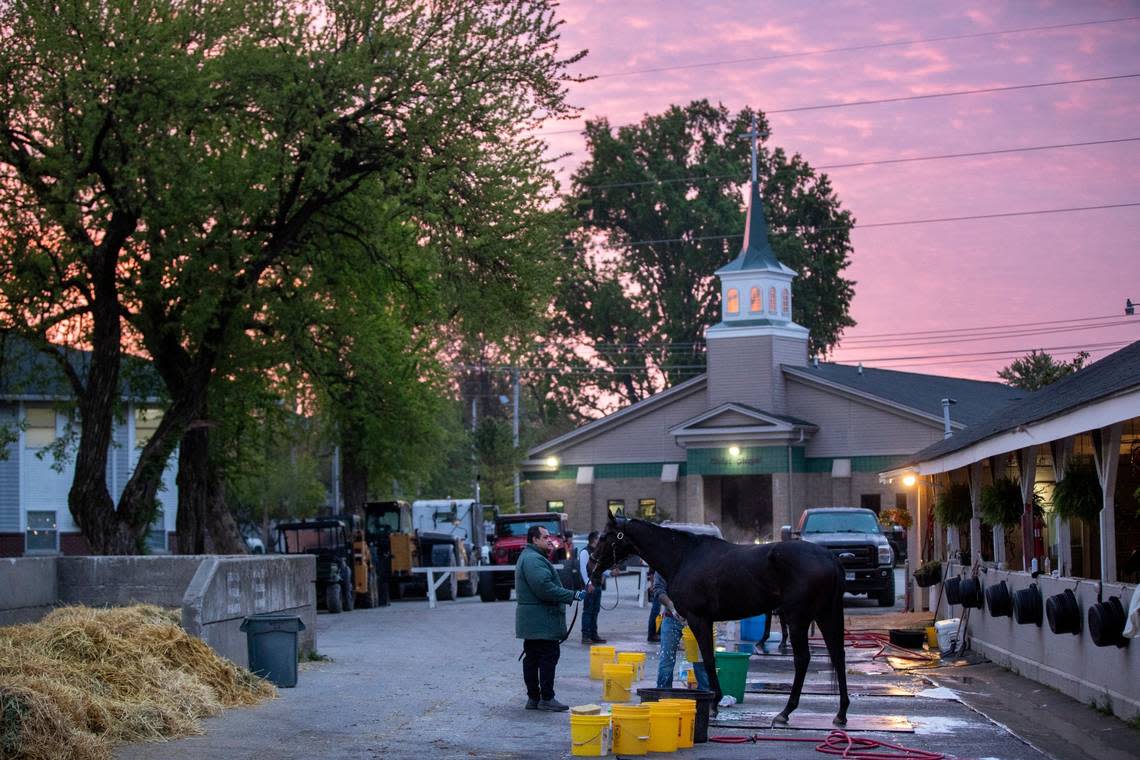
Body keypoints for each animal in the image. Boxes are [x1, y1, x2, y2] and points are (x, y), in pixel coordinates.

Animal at [588, 515, 848, 729]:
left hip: (798, 619)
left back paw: (785, 712)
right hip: (825, 615)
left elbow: (709, 659)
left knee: (803, 659)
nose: (591, 565)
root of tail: (829, 557)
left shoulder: (699, 619)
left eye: (605, 536)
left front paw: (714, 704)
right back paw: (841, 713)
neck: (683, 557)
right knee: (837, 654)